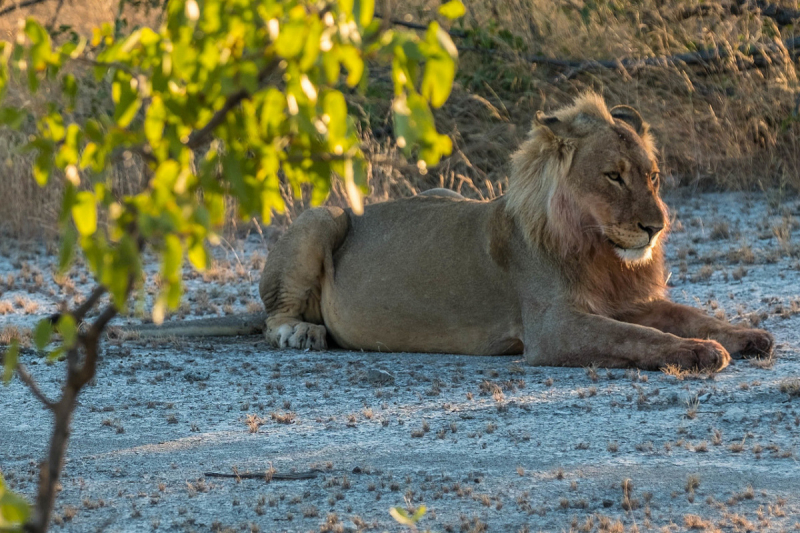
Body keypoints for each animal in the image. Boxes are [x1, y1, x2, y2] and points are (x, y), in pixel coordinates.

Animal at [260, 92, 772, 370]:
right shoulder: (553, 329)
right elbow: (638, 339)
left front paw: (747, 336)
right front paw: (702, 353)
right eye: (614, 176)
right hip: (322, 216)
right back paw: (301, 334)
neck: (599, 253)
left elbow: (690, 315)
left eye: (653, 177)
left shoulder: (628, 300)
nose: (656, 227)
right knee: (273, 319)